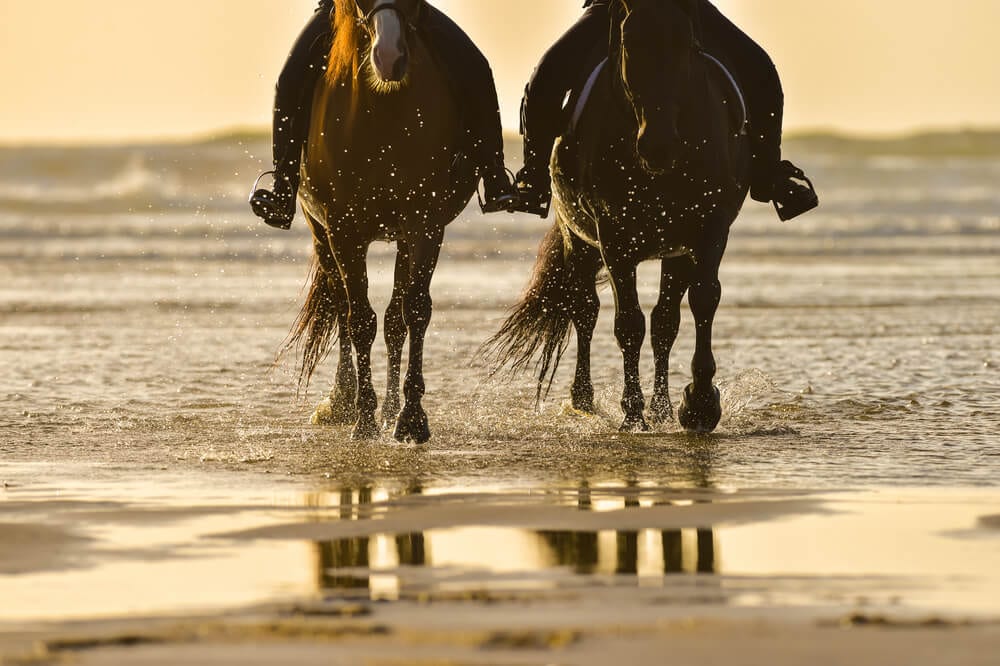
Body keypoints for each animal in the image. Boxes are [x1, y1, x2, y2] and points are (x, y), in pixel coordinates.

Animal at [286, 0, 480, 440]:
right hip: (321, 233)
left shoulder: (424, 226)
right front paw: (362, 418)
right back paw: (342, 401)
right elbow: (358, 318)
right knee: (341, 306)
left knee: (394, 319)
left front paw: (411, 417)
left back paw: (391, 409)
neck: (383, 116)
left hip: (402, 240)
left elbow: (414, 312)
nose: (389, 57)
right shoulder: (344, 230)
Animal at [484, 0, 752, 430]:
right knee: (585, 311)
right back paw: (584, 399)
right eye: (629, 43)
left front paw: (699, 404)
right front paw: (632, 413)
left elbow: (702, 300)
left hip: (674, 253)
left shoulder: (709, 230)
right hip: (579, 242)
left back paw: (662, 409)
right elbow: (628, 323)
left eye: (685, 44)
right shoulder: (614, 237)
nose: (658, 146)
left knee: (665, 321)